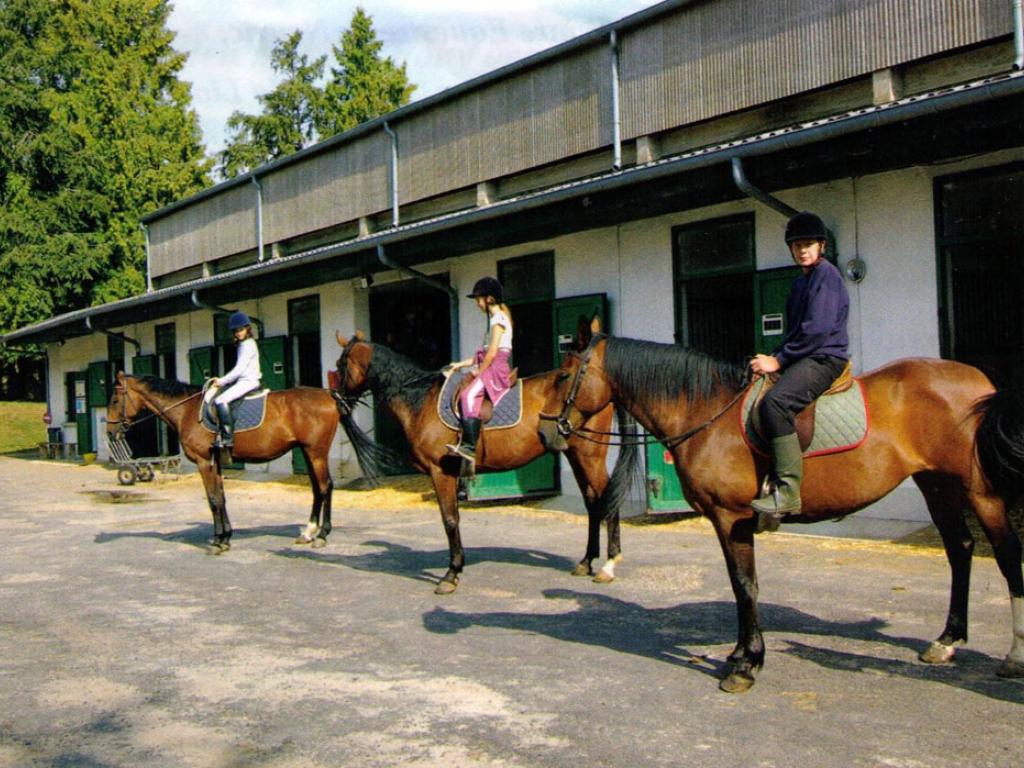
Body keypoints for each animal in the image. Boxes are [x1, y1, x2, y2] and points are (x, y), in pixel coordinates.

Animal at [107, 372, 342, 552]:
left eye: (115, 401)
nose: (110, 432)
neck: (188, 410)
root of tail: (327, 395)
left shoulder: (204, 462)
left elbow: (213, 500)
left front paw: (218, 542)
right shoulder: (216, 463)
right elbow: (221, 498)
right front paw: (225, 537)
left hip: (316, 453)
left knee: (325, 487)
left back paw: (322, 535)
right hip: (307, 452)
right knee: (317, 489)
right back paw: (308, 533)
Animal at [333, 331, 638, 593]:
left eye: (340, 364)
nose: (337, 400)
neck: (421, 400)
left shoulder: (440, 473)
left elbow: (450, 520)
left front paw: (451, 575)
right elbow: (453, 519)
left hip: (589, 456)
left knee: (607, 500)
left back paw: (608, 565)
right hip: (575, 455)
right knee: (593, 502)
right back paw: (586, 562)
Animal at [536, 321, 1024, 696]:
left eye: (562, 376)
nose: (544, 433)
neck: (707, 411)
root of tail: (980, 381)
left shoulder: (732, 518)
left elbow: (746, 585)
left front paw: (746, 665)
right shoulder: (724, 521)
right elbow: (739, 588)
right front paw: (739, 654)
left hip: (980, 492)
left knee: (1006, 556)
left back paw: (1013, 655)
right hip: (936, 483)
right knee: (960, 550)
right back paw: (946, 641)